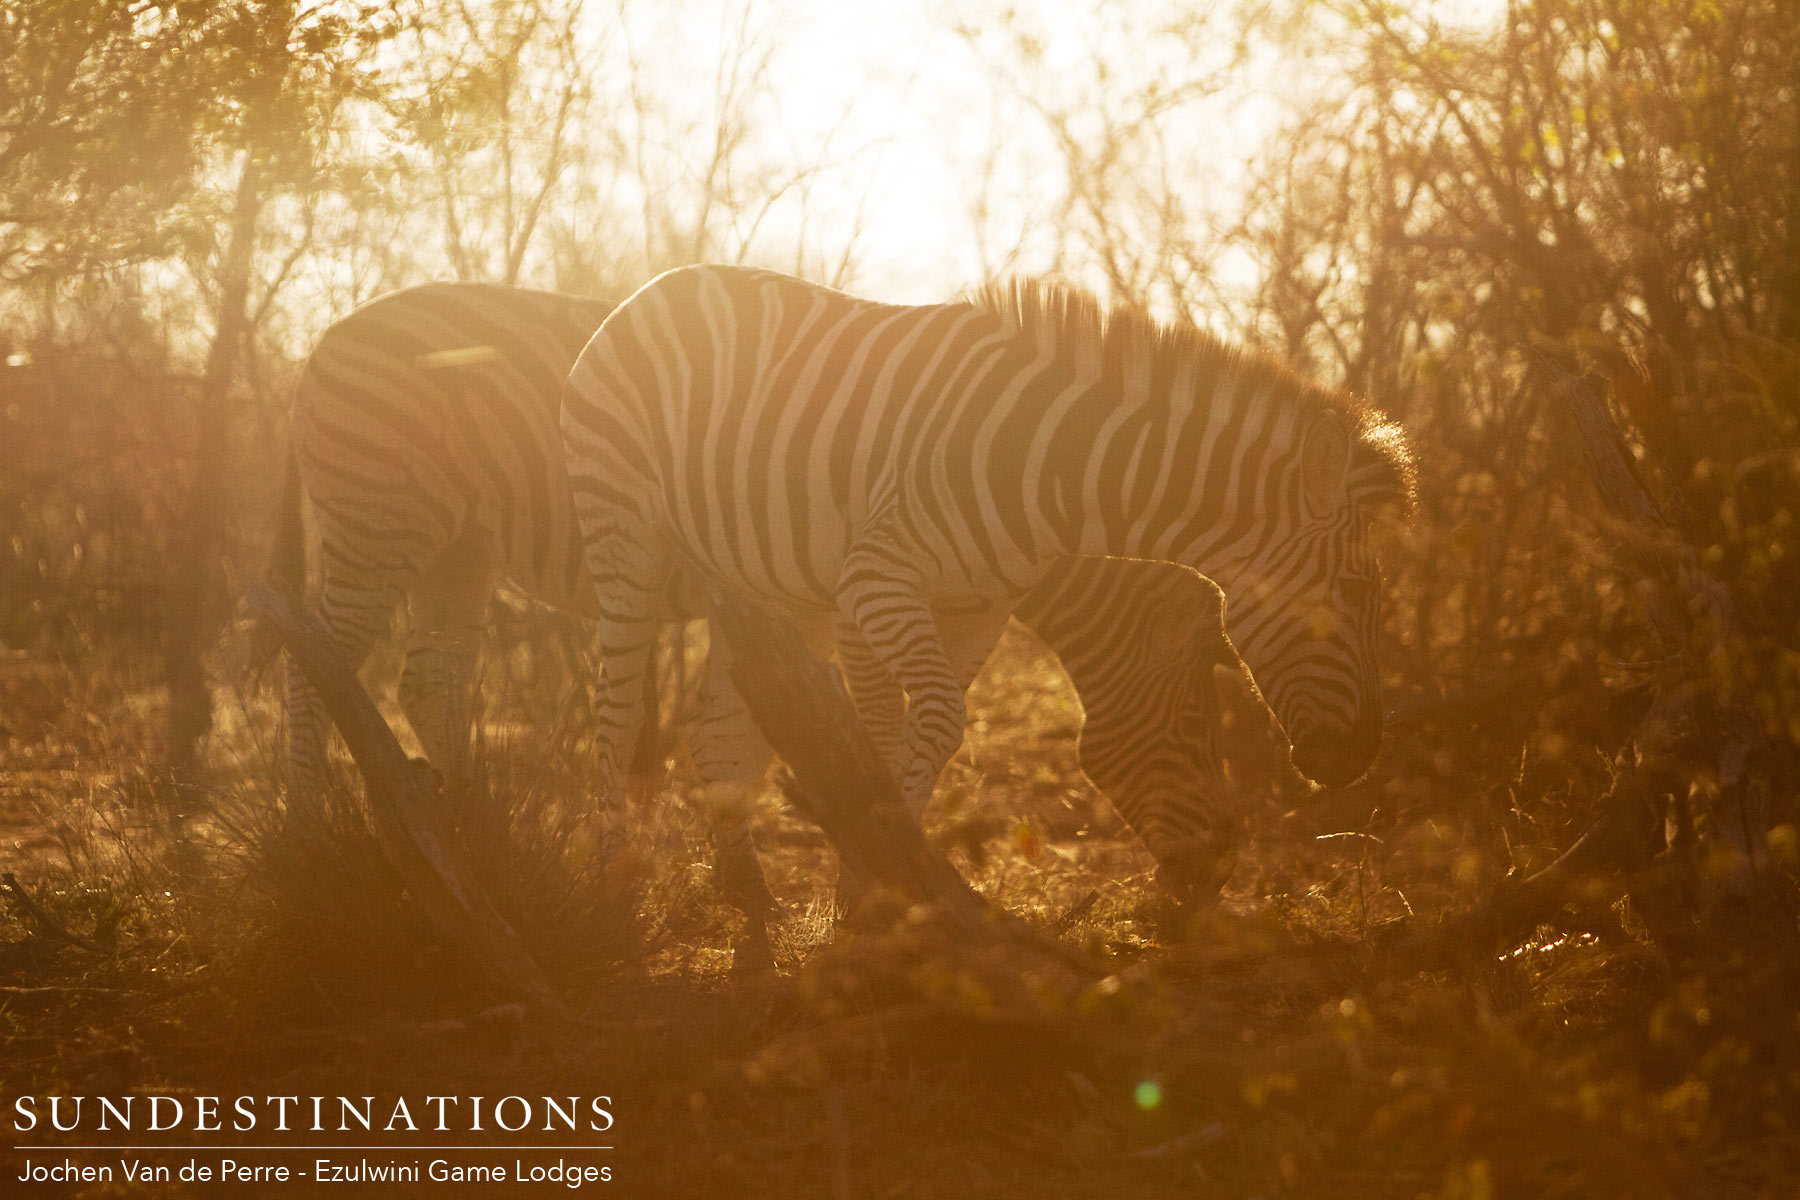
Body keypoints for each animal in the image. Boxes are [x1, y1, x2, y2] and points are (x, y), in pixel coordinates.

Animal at [559, 265, 1412, 915]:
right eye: (1357, 587)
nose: (1364, 755)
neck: (1056, 475)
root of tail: (655, 285)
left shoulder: (968, 611)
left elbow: (894, 733)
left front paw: (867, 887)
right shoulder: (877, 581)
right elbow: (930, 722)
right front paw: (888, 885)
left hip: (764, 585)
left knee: (715, 726)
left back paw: (747, 891)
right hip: (624, 542)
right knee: (614, 714)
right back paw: (612, 883)